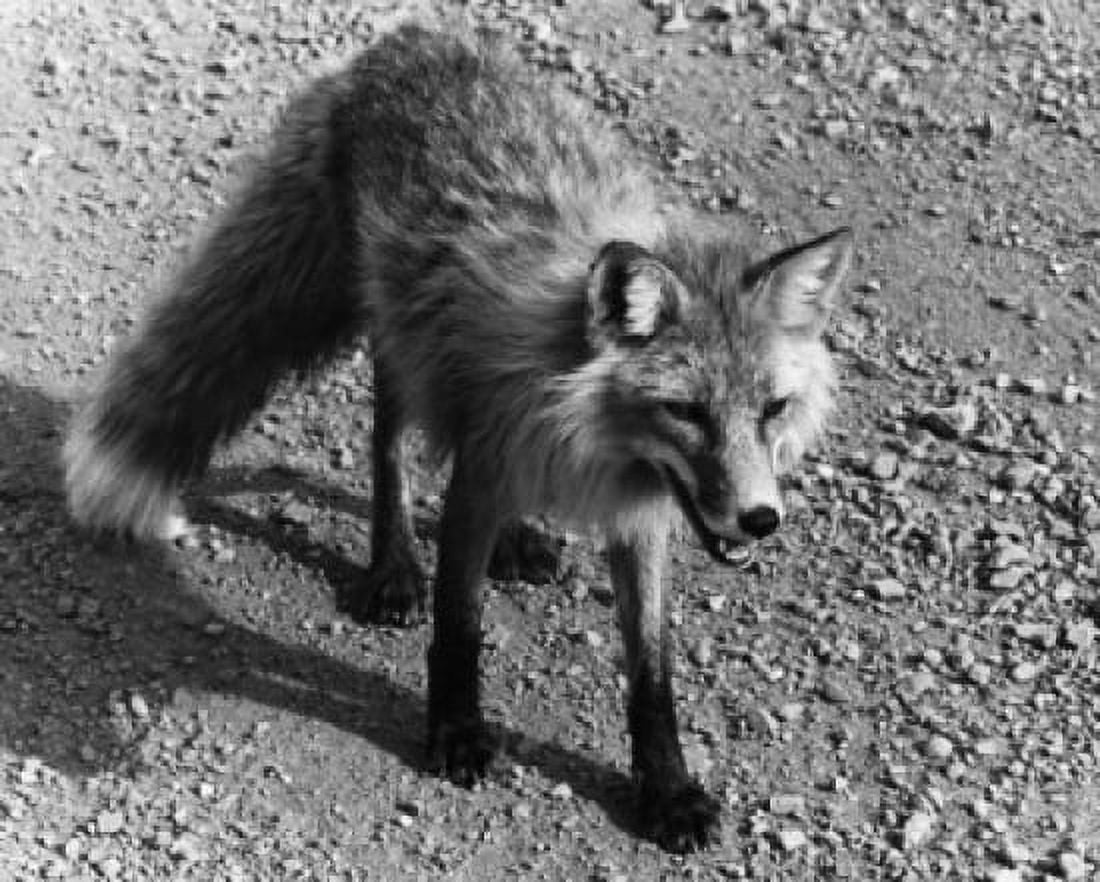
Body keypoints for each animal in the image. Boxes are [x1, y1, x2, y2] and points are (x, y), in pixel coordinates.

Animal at [63, 24, 852, 852]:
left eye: (772, 409)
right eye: (687, 412)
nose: (760, 519)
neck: (588, 429)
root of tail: (407, 41)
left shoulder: (640, 516)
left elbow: (651, 672)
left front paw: (666, 789)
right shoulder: (481, 474)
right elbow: (459, 624)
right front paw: (456, 729)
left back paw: (520, 541)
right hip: (397, 337)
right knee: (388, 448)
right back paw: (394, 566)